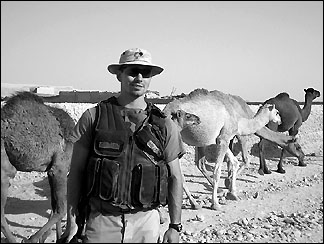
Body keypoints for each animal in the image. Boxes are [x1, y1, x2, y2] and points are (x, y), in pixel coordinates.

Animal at [0, 91, 74, 242]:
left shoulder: (51, 170)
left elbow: (55, 206)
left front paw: (57, 237)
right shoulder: (60, 168)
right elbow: (61, 210)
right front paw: (34, 239)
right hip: (3, 168)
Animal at [163, 88, 306, 211]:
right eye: (277, 112)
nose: (280, 120)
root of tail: (165, 111)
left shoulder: (221, 138)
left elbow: (234, 162)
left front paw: (232, 192)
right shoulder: (228, 137)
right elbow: (220, 169)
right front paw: (216, 203)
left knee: (191, 166)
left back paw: (195, 203)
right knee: (179, 172)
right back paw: (194, 203)